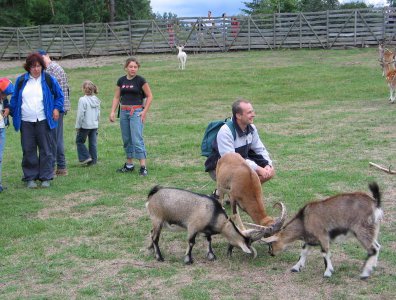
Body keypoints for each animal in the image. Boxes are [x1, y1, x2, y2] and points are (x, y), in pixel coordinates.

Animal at [146, 185, 284, 264]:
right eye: (247, 243)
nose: (229, 254)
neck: (214, 214)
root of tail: (153, 194)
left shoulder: (206, 231)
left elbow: (209, 240)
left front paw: (211, 256)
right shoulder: (192, 227)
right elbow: (191, 242)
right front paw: (188, 260)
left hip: (159, 222)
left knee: (151, 233)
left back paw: (150, 248)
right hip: (158, 219)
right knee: (155, 237)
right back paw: (159, 257)